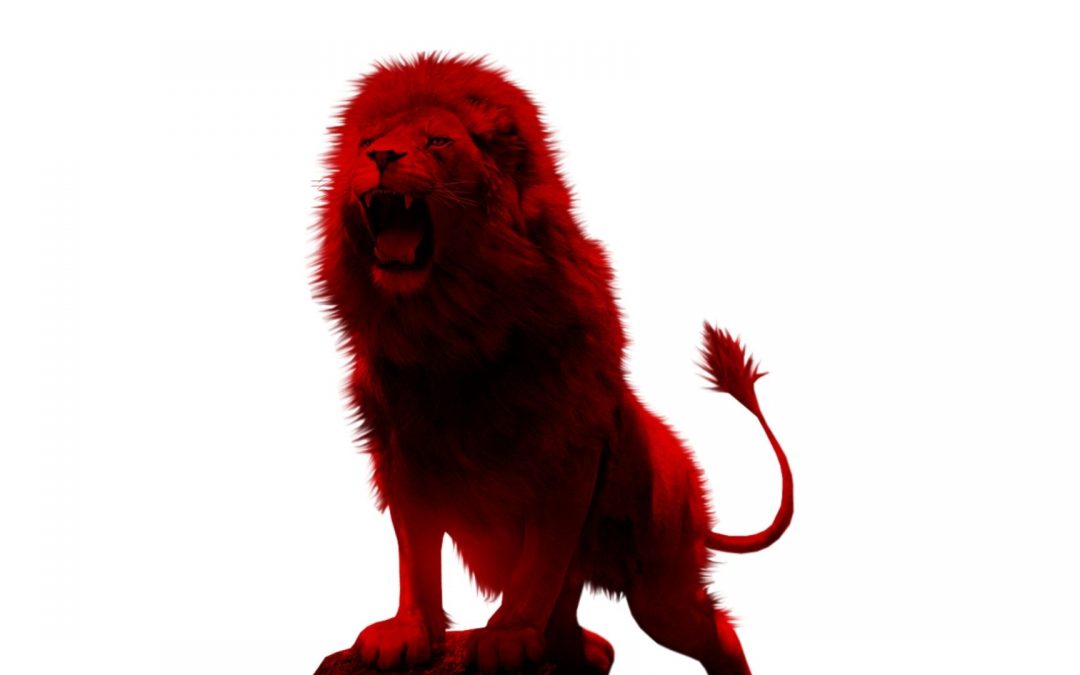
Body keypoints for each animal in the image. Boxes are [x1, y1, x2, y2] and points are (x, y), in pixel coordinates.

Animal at [312, 54, 793, 675]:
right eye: (367, 142)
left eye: (437, 141)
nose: (380, 158)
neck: (448, 324)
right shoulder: (407, 452)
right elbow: (416, 556)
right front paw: (406, 631)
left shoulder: (567, 450)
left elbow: (541, 555)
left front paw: (509, 633)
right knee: (589, 631)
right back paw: (576, 649)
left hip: (660, 585)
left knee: (716, 631)